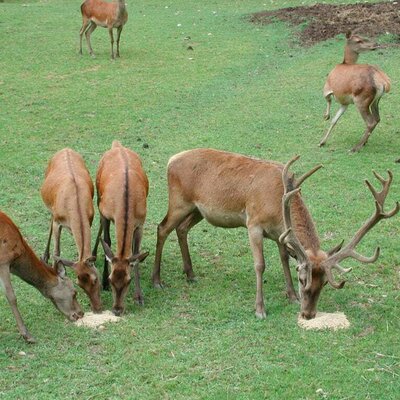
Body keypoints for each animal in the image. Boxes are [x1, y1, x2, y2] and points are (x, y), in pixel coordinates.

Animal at [40, 148, 101, 314]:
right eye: (79, 284)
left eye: (95, 279)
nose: (97, 308)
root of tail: (65, 149)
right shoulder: (58, 221)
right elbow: (57, 251)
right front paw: (56, 271)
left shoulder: (89, 219)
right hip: (51, 207)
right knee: (49, 221)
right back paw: (44, 257)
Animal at [93, 141, 149, 316]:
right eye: (111, 280)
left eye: (128, 281)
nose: (117, 309)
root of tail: (117, 145)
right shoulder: (105, 213)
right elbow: (108, 242)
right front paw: (103, 283)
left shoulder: (140, 222)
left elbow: (136, 254)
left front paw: (139, 297)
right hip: (97, 195)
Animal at [152, 148, 398, 320]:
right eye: (303, 279)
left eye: (324, 284)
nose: (308, 314)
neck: (278, 205)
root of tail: (171, 160)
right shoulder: (253, 224)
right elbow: (260, 265)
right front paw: (260, 309)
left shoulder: (281, 233)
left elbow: (284, 259)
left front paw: (291, 296)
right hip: (179, 202)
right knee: (162, 228)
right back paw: (157, 280)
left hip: (198, 210)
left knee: (181, 229)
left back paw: (190, 274)